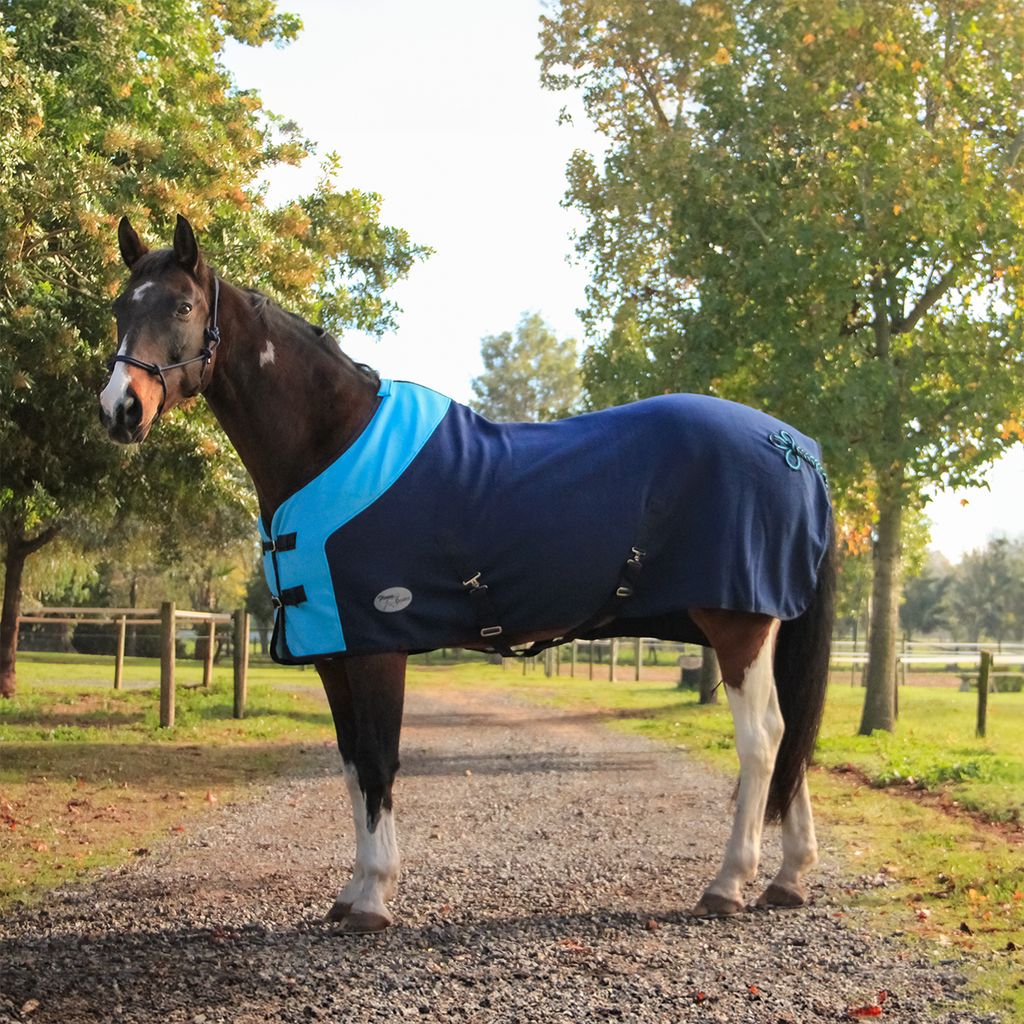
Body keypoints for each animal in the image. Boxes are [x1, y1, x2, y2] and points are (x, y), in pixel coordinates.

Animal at [96, 216, 835, 937]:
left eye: (182, 306)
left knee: (763, 740)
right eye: (118, 307)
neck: (332, 443)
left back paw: (728, 885)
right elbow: (350, 766)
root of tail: (797, 448)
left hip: (739, 628)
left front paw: (374, 898)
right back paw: (789, 880)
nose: (119, 409)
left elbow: (378, 761)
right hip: (758, 629)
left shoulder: (377, 646)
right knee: (790, 738)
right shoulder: (334, 650)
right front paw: (351, 890)